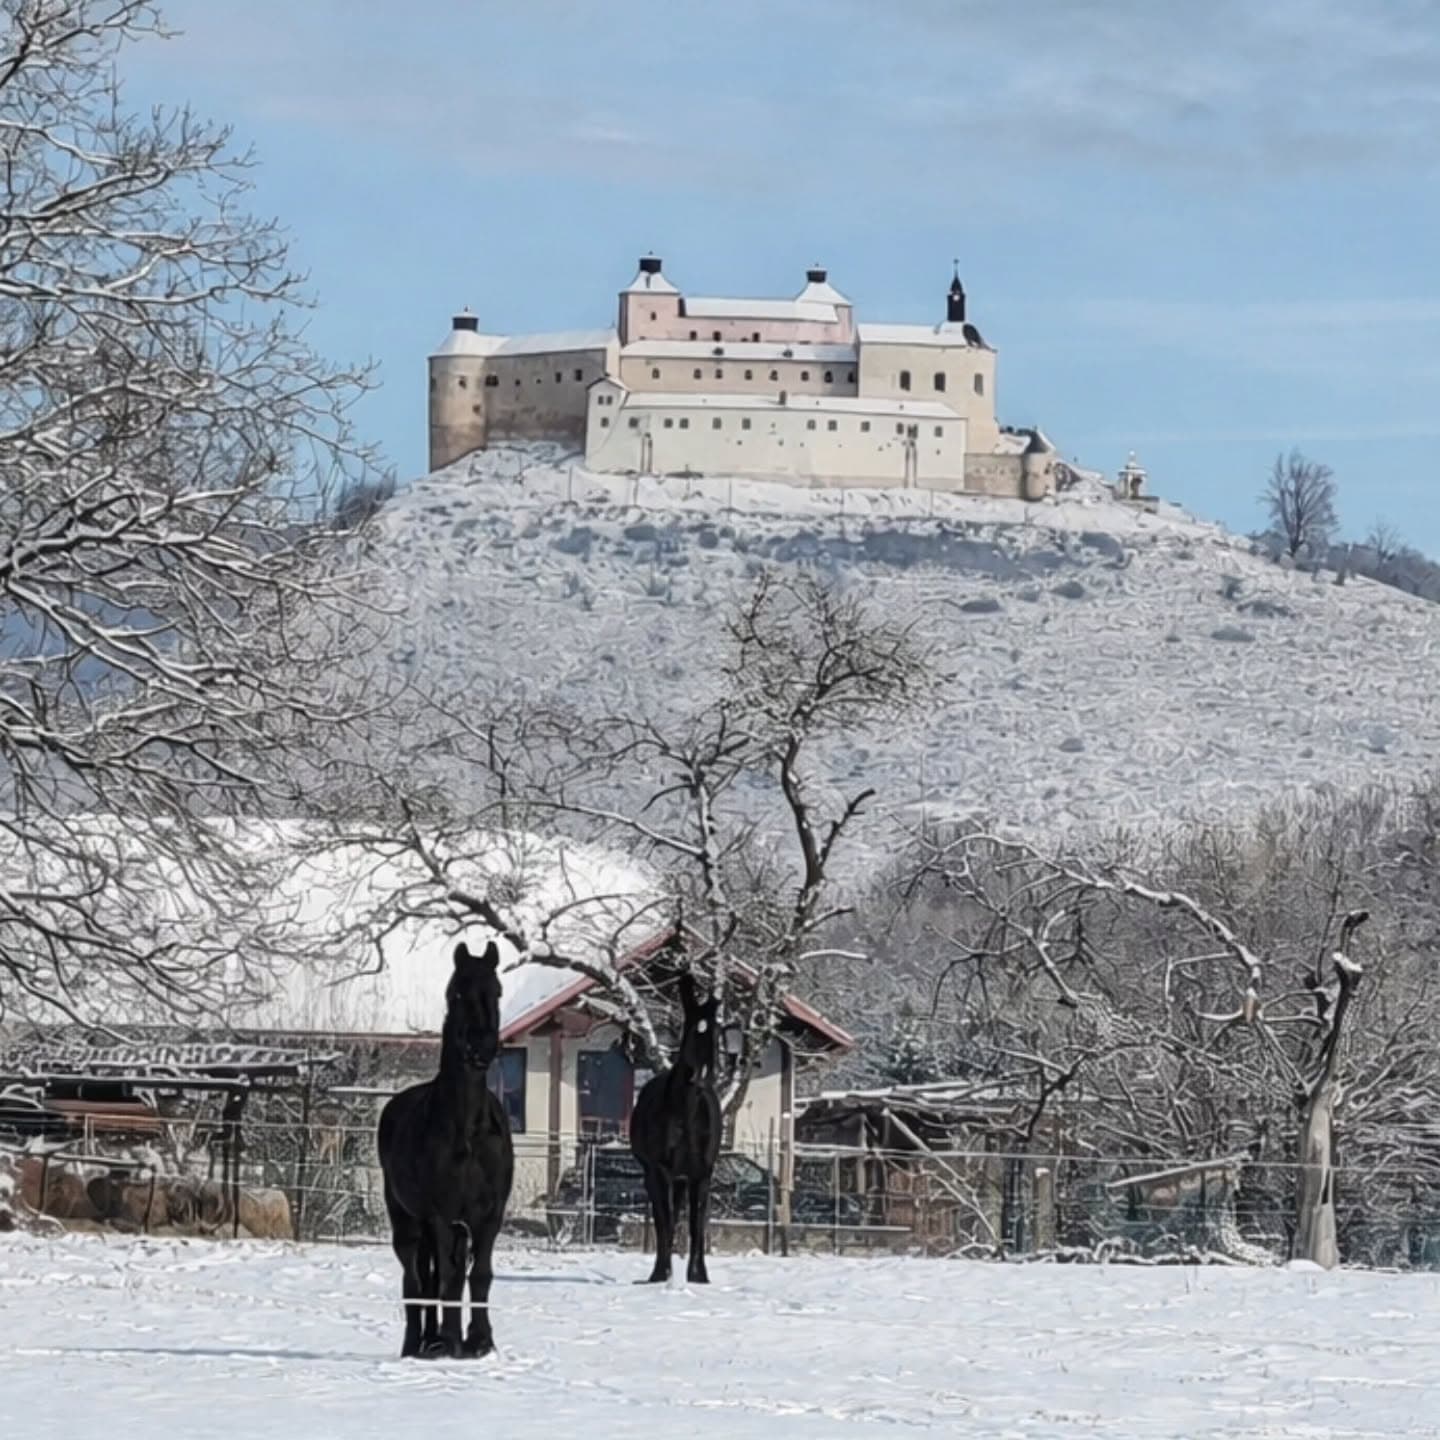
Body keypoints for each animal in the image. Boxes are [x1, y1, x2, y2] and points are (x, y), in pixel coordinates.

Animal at [377, 940, 515, 1358]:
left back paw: (432, 1339)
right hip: (406, 1221)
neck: (467, 1130)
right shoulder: (443, 1215)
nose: (481, 1048)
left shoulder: (488, 1216)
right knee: (415, 1280)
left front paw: (481, 1340)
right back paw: (417, 1343)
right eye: (456, 993)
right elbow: (447, 1278)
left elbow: (478, 1275)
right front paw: (453, 1338)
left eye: (497, 991)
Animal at [629, 973, 723, 1284]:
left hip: (682, 1178)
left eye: (717, 1032)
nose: (700, 1076)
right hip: (657, 1174)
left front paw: (699, 1275)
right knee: (665, 1218)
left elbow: (696, 1224)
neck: (686, 1111)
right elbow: (664, 1221)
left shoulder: (701, 1174)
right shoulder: (659, 1171)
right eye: (693, 1028)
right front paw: (661, 1273)